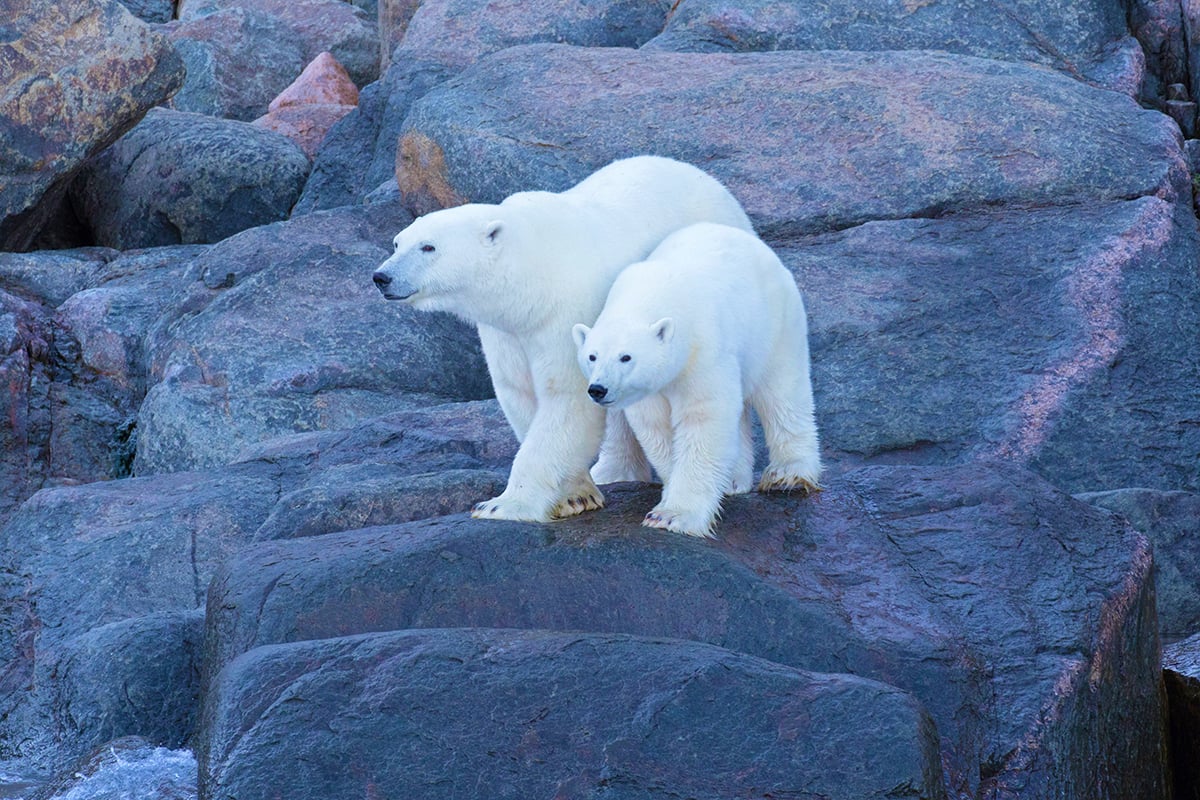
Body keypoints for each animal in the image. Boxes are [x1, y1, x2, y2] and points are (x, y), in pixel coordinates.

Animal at [369, 154, 753, 525]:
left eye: (428, 247)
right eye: (398, 242)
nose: (382, 277)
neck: (533, 277)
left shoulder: (567, 315)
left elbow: (567, 398)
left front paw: (502, 504)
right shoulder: (507, 332)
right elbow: (521, 394)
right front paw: (575, 495)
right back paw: (614, 471)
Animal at [573, 221, 825, 537]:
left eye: (626, 357)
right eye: (592, 356)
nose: (598, 389)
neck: (653, 296)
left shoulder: (703, 351)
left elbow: (704, 419)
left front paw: (671, 516)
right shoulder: (648, 391)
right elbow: (658, 428)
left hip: (775, 324)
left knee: (783, 393)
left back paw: (789, 476)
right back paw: (734, 478)